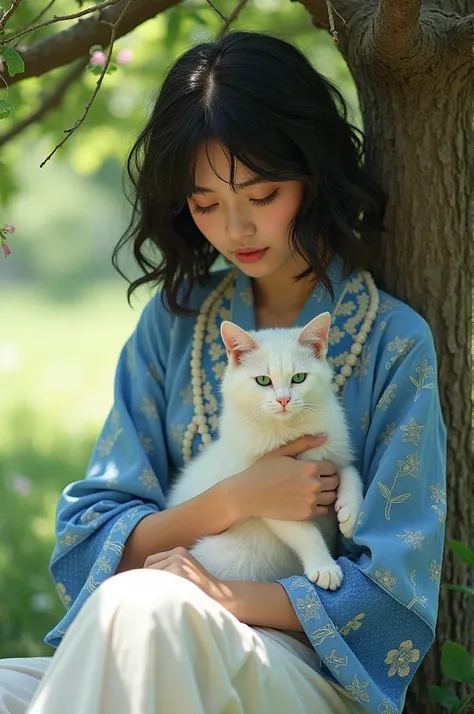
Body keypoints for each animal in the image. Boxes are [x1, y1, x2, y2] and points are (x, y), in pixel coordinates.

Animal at [168, 312, 364, 588]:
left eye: (299, 378)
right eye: (263, 381)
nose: (284, 400)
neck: (288, 430)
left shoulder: (333, 452)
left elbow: (351, 472)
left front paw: (349, 512)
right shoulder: (271, 499)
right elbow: (305, 532)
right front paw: (324, 566)